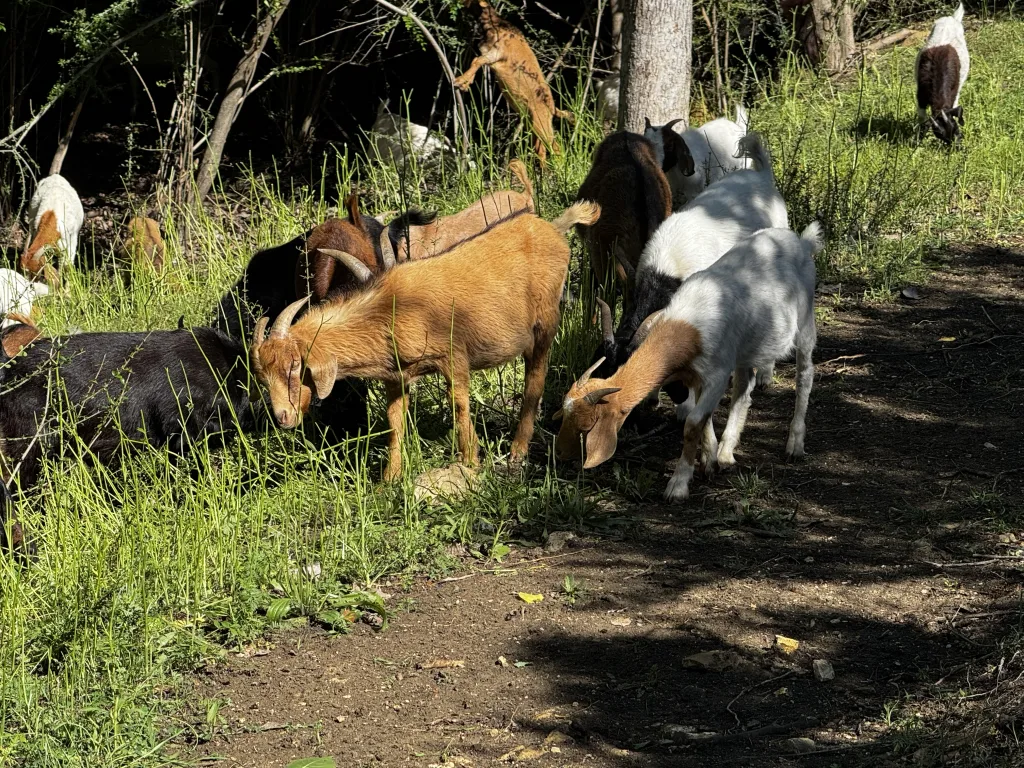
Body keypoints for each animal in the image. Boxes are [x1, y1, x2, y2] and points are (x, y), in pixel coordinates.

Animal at [250, 202, 601, 481]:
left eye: (295, 366)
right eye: (262, 377)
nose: (283, 417)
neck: (391, 309)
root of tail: (554, 228)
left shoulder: (454, 358)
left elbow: (459, 407)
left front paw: (469, 463)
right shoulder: (396, 377)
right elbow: (394, 424)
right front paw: (389, 480)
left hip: (545, 325)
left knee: (534, 381)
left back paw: (517, 451)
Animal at [454, 0, 575, 167]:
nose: (460, 4)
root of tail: (553, 109)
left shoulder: (496, 53)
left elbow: (477, 60)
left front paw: (460, 81)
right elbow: (476, 61)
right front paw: (466, 83)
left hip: (541, 123)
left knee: (552, 149)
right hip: (534, 123)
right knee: (546, 149)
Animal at [556, 224, 822, 502]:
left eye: (587, 426)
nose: (560, 454)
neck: (688, 326)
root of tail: (801, 242)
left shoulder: (717, 375)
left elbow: (693, 423)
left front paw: (678, 484)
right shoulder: (695, 376)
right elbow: (703, 420)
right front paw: (710, 461)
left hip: (805, 322)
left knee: (805, 375)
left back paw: (795, 444)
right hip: (747, 346)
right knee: (744, 387)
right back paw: (726, 452)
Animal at [916, 4, 968, 144]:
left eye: (956, 129)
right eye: (940, 136)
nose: (957, 146)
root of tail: (952, 18)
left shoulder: (954, 92)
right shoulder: (920, 94)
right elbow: (921, 117)